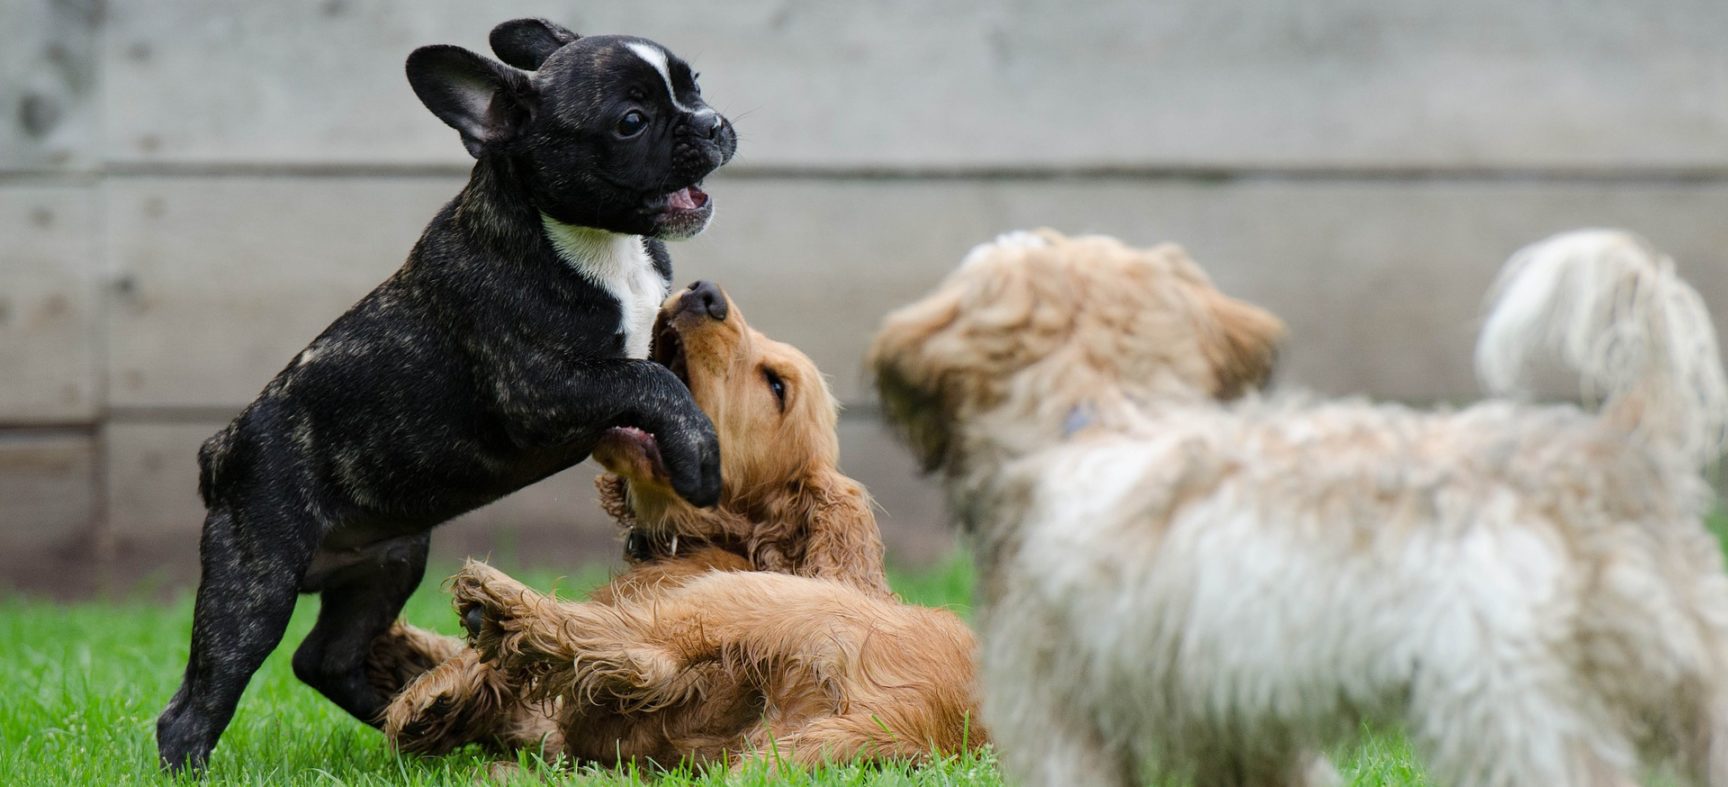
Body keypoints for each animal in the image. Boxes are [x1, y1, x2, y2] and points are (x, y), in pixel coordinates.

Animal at [153, 16, 736, 771]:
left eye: (693, 86)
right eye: (631, 122)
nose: (713, 121)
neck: (594, 241)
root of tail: (222, 447)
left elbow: (666, 369)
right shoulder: (542, 389)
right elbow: (649, 378)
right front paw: (699, 458)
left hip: (389, 562)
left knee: (324, 657)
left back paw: (417, 723)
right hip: (255, 582)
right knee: (200, 699)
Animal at [364, 281, 988, 771]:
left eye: (777, 385)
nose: (704, 292)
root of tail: (914, 717)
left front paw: (435, 686)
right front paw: (405, 656)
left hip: (750, 601)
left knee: (640, 654)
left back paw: (496, 606)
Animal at [870, 230, 1728, 787]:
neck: (1102, 412)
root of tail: (1614, 452)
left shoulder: (1062, 720)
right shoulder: (1245, 730)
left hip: (1513, 713)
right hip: (1699, 689)